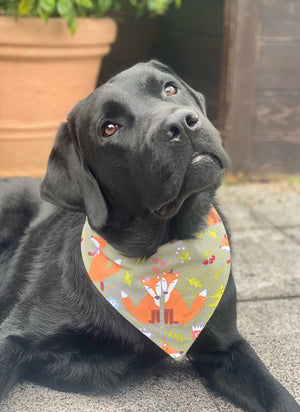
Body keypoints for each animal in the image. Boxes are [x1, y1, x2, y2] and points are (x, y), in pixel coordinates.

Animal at [0, 62, 298, 412]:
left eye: (169, 88)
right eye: (109, 128)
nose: (182, 123)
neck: (161, 247)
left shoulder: (226, 346)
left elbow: (278, 396)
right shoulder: (15, 334)